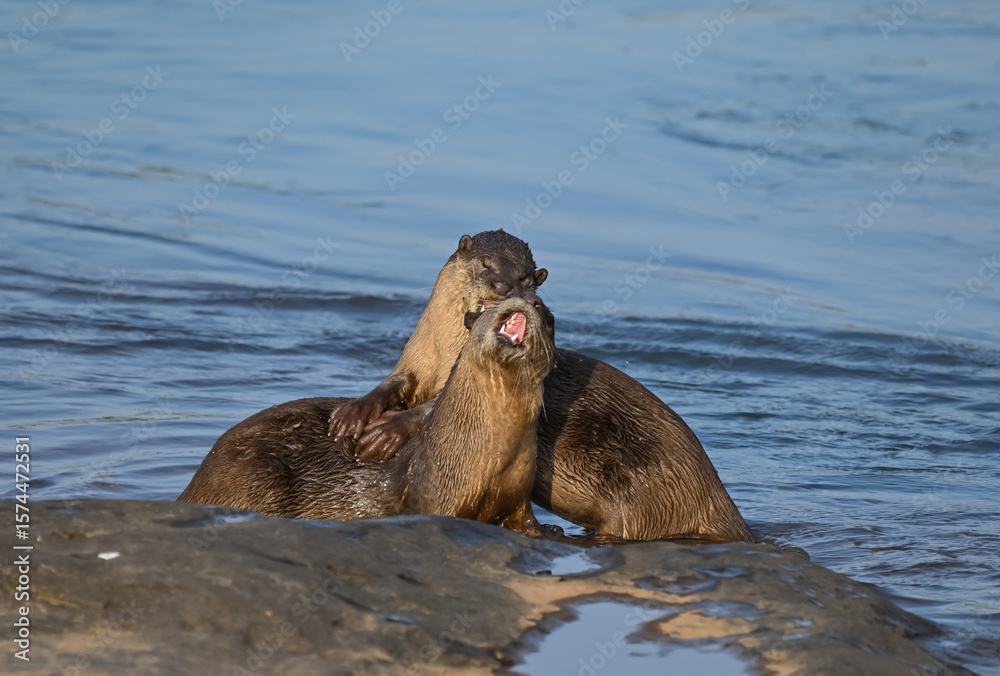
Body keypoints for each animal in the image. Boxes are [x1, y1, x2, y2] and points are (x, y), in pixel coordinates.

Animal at [178, 295, 555, 537]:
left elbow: (529, 525)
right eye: (492, 305)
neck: (490, 455)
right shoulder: (436, 501)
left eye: (550, 319)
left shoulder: (519, 498)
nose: (532, 301)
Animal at [328, 231, 754, 543]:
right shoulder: (416, 362)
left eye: (525, 277)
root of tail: (718, 500)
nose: (503, 286)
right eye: (485, 264)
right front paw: (354, 412)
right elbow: (393, 383)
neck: (444, 347)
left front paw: (386, 431)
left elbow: (432, 408)